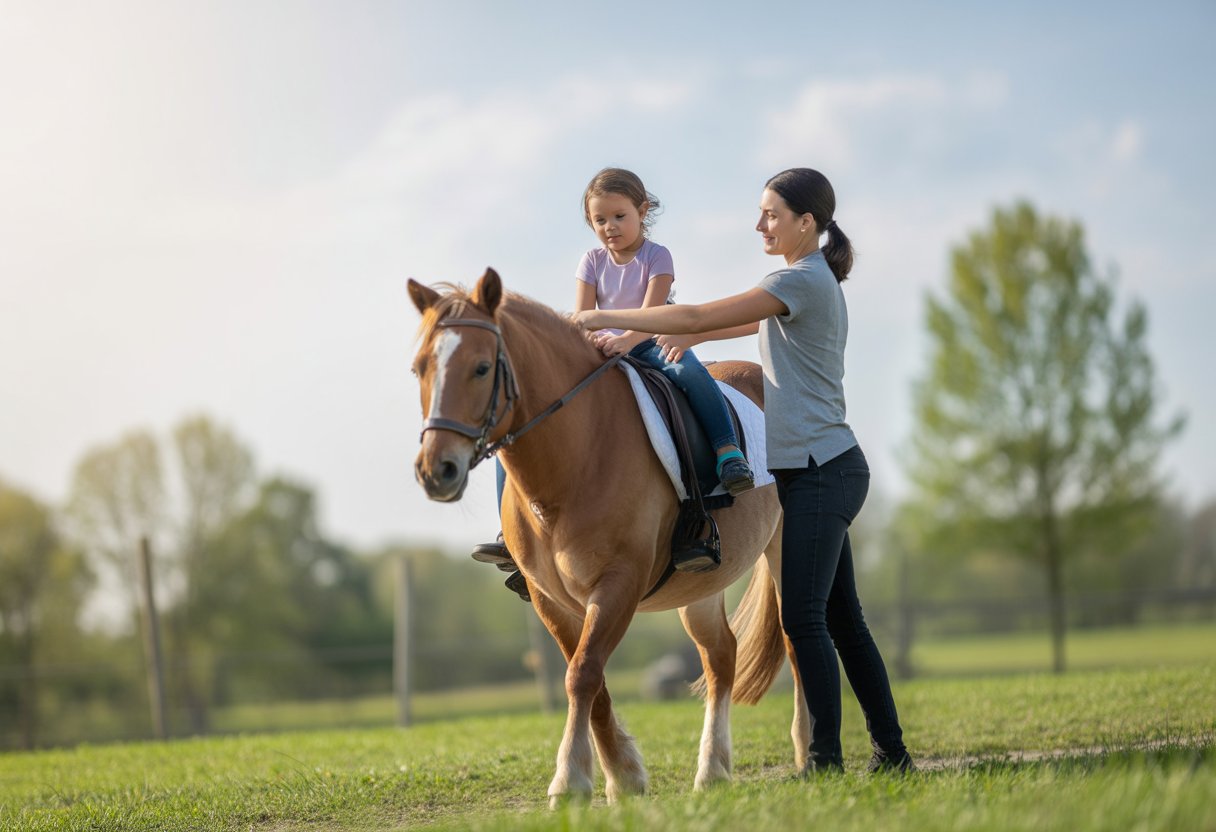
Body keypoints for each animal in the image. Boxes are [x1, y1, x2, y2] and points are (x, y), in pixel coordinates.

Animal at [408, 268, 810, 806]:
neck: (574, 458)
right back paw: (712, 769)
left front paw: (571, 781)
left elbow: (582, 673)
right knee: (721, 656)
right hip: (703, 583)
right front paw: (624, 776)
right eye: (419, 369)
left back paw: (806, 750)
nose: (437, 471)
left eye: (481, 368)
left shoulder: (619, 582)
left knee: (794, 640)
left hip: (785, 549)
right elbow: (589, 677)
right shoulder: (549, 596)